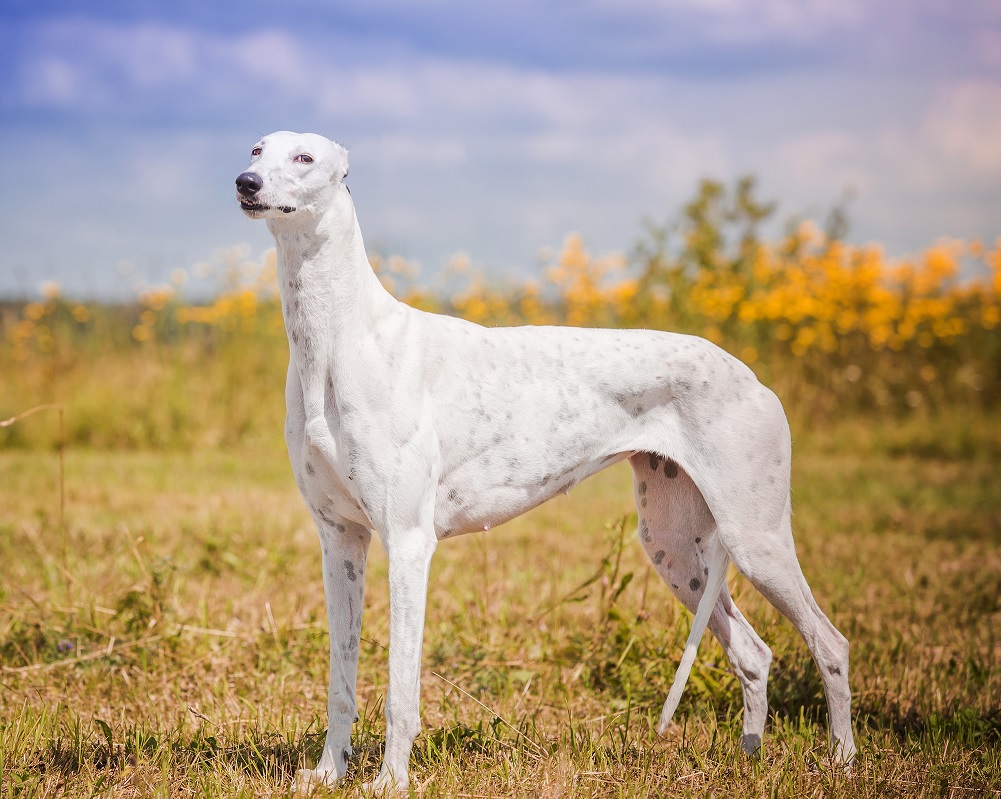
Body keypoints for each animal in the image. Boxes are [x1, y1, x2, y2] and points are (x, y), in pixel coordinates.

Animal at [234, 130, 852, 788]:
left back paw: (842, 761)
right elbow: (340, 678)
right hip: (675, 547)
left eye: (304, 158)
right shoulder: (341, 540)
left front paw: (390, 783)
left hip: (756, 536)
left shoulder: (407, 543)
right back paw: (749, 757)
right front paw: (328, 774)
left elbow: (401, 688)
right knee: (754, 653)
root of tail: (750, 376)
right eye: (257, 149)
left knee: (830, 643)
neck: (340, 339)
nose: (245, 183)